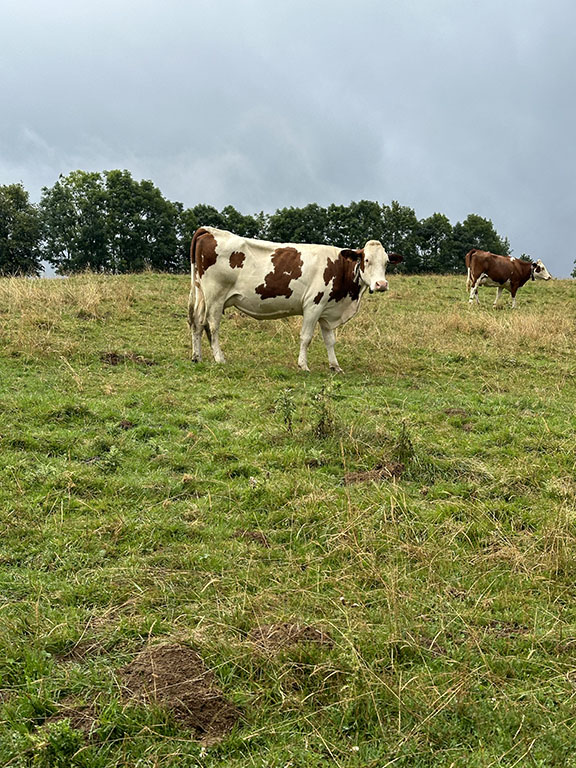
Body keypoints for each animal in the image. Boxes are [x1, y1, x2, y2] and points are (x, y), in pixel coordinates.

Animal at [187, 225, 402, 372]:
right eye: (366, 260)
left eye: (386, 262)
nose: (381, 284)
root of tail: (209, 230)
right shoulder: (313, 305)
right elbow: (306, 337)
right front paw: (303, 365)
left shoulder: (327, 310)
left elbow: (330, 340)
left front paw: (335, 366)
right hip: (215, 296)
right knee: (212, 325)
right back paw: (219, 358)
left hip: (201, 294)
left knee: (196, 322)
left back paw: (197, 357)